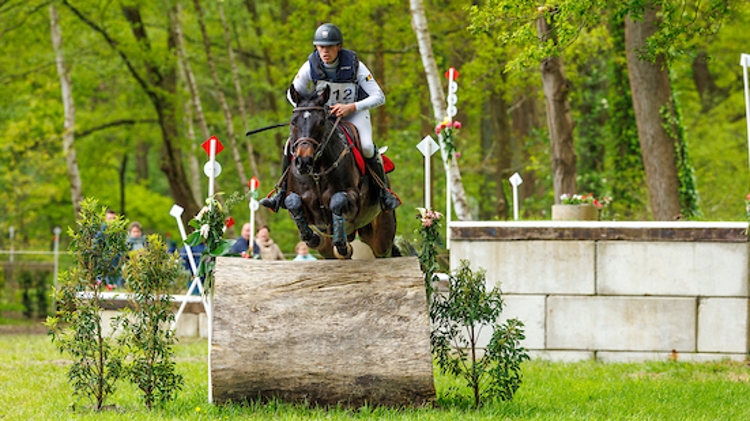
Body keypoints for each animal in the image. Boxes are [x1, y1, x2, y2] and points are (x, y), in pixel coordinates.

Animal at [282, 83, 400, 258]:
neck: (316, 172)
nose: (303, 162)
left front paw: (341, 244)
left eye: (321, 122)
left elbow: (338, 200)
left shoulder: (354, 201)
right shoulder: (299, 202)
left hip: (382, 235)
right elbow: (293, 202)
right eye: (293, 122)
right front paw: (312, 238)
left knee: (384, 251)